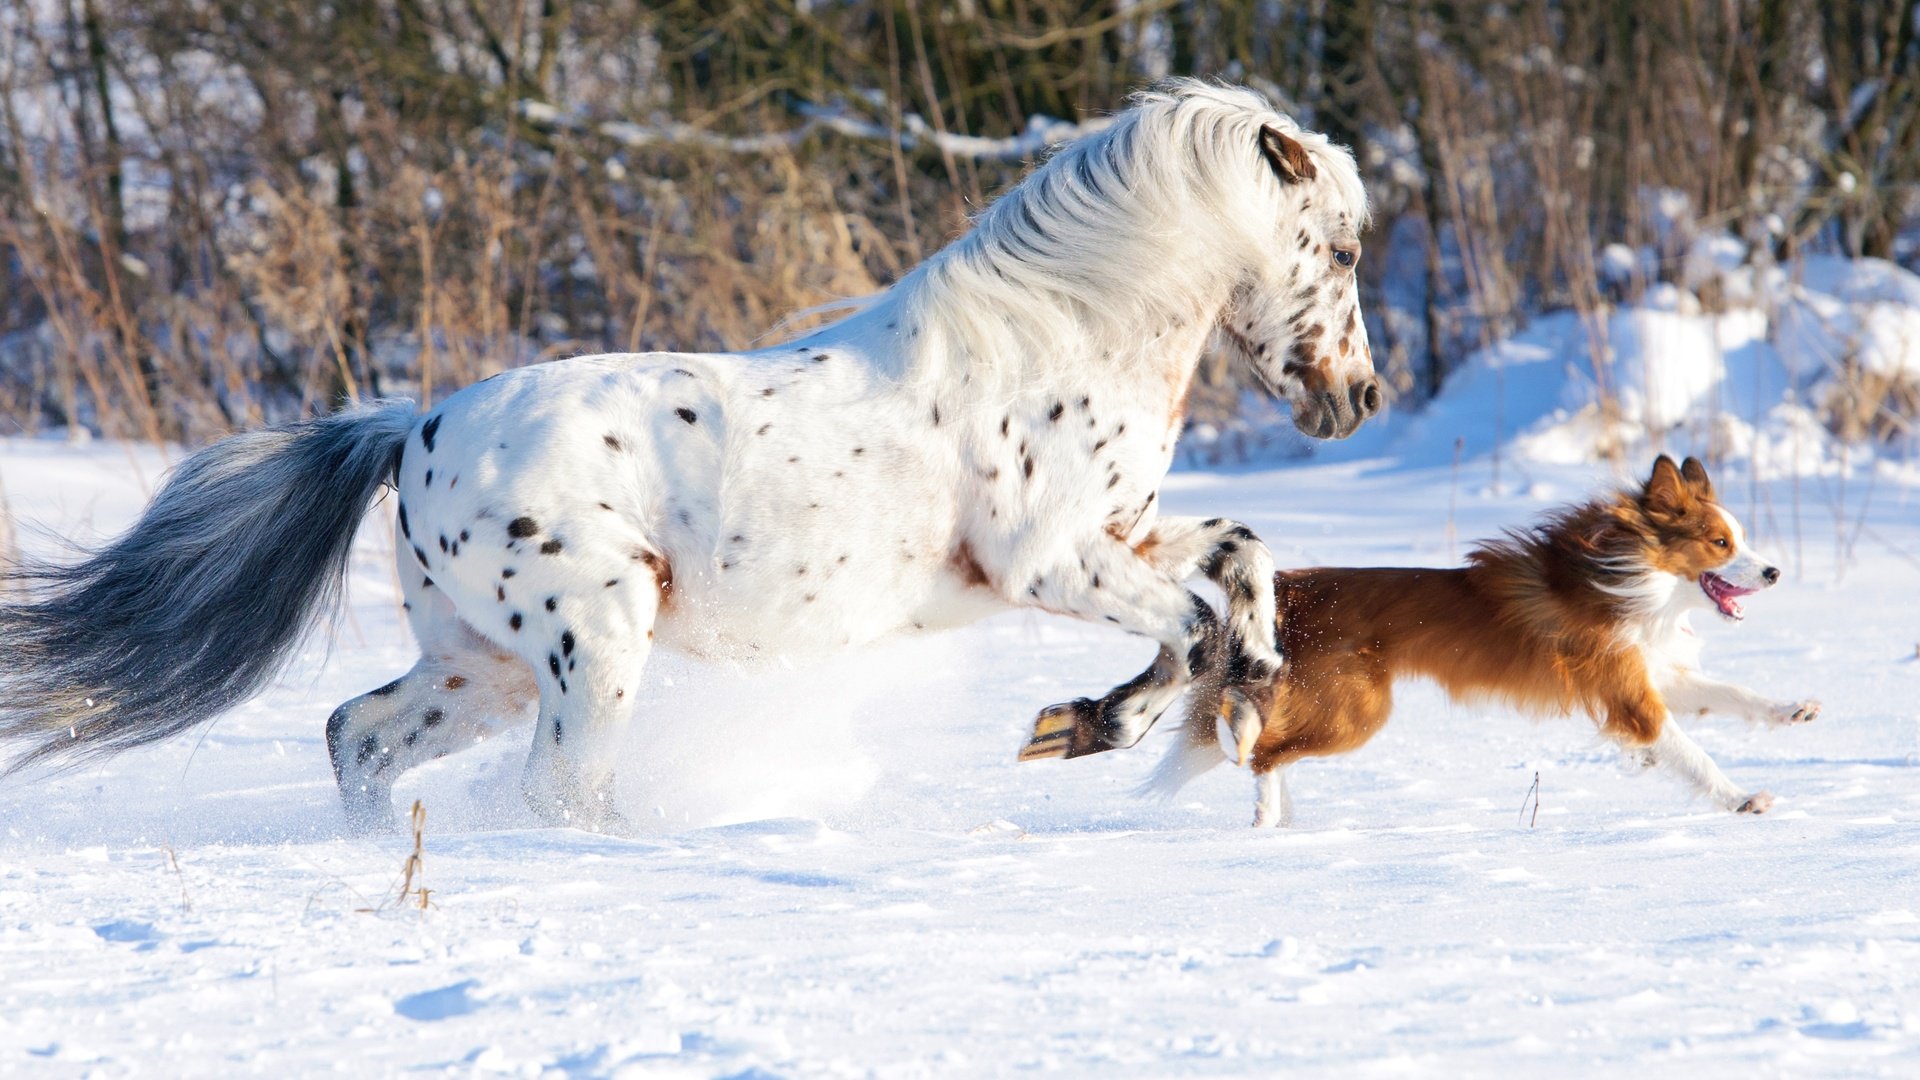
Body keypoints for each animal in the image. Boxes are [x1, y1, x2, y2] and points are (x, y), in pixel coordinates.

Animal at [0, 79, 1382, 826]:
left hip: (482, 667)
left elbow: (1241, 557)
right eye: (1343, 247)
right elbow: (1189, 625)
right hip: (593, 644)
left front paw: (1244, 687)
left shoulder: (1123, 533)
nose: (1358, 399)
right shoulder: (1047, 564)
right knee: (550, 790)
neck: (1060, 331)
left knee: (357, 734)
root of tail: (412, 430)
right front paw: (1088, 727)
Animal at [1144, 453, 1820, 822]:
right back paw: (1266, 821)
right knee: (1261, 753)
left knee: (1271, 748)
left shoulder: (1651, 673)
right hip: (1355, 711)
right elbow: (1693, 753)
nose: (1774, 572)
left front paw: (1791, 709)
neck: (1630, 578)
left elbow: (1733, 694)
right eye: (1721, 543)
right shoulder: (1630, 697)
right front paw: (1740, 800)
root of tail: (1288, 589)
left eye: (1739, 539)